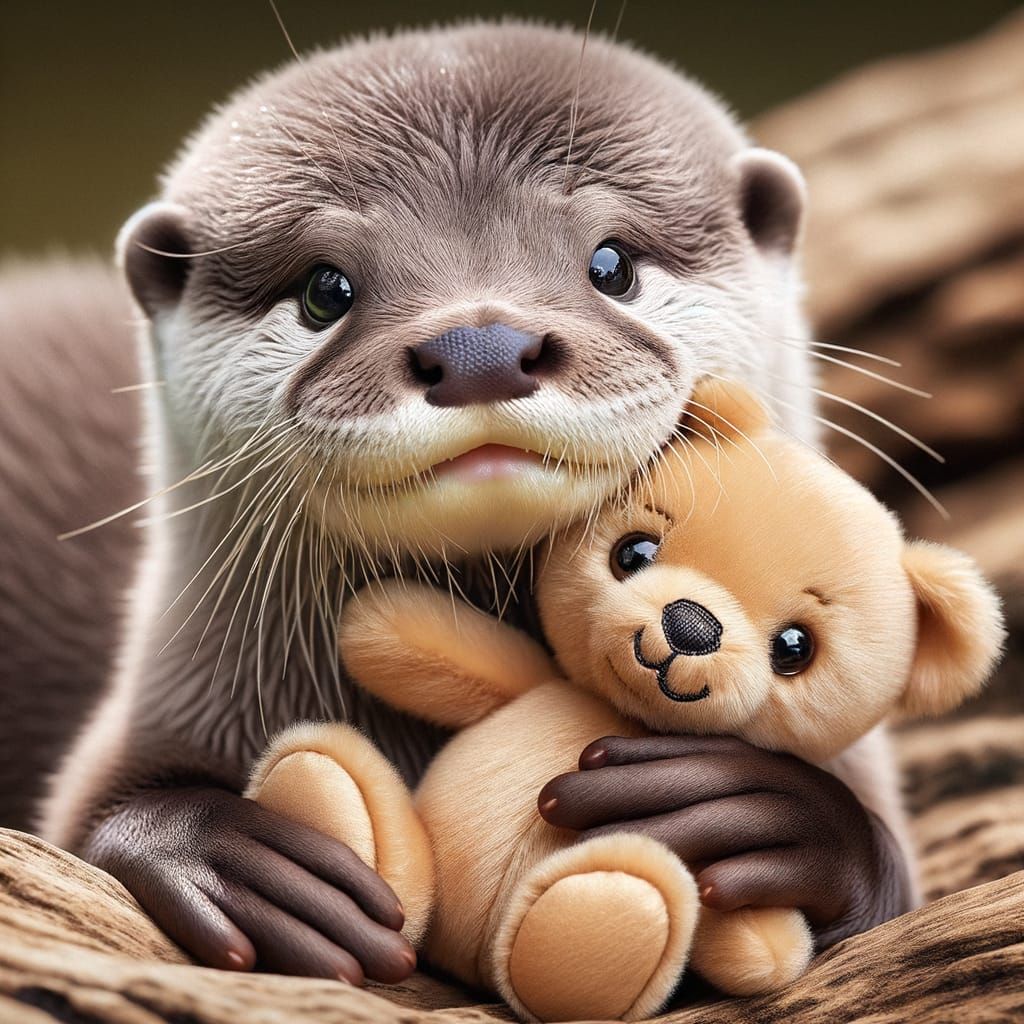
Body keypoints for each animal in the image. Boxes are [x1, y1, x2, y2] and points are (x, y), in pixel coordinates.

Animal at [5, 22, 911, 986]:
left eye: (612, 263)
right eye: (325, 289)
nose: (481, 346)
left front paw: (762, 808)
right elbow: (95, 822)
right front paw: (233, 859)